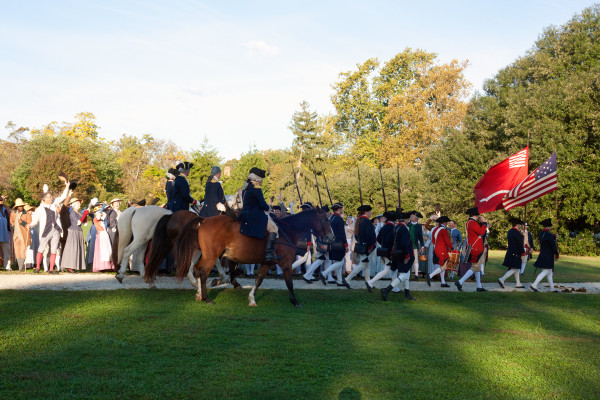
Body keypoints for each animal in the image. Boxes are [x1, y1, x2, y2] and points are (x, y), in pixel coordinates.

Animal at [173, 208, 336, 308]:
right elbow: (289, 283)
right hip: (211, 256)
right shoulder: (285, 263)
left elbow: (259, 280)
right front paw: (295, 301)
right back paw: (207, 298)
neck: (287, 231)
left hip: (206, 255)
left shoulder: (267, 263)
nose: (332, 238)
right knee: (203, 272)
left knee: (197, 269)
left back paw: (200, 293)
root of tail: (204, 220)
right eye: (325, 220)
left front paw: (252, 298)